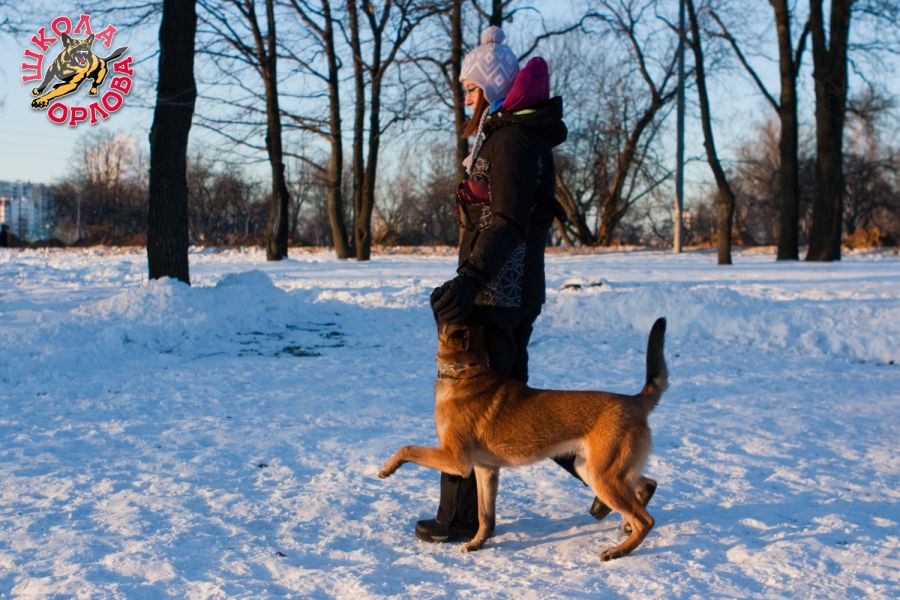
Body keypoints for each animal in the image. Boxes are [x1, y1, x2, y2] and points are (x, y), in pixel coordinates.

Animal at [379, 317, 668, 561]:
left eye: (448, 320)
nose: (438, 291)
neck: (466, 371)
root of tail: (634, 401)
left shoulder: (455, 460)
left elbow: (407, 448)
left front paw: (387, 468)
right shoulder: (485, 470)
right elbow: (485, 515)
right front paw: (477, 543)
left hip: (602, 476)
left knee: (646, 520)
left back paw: (619, 550)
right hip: (592, 469)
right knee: (647, 485)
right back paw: (626, 524)